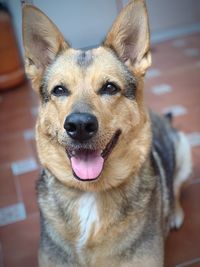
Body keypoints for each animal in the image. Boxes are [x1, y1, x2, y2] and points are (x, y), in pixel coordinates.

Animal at [22, 1, 192, 266]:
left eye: (109, 88)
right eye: (59, 90)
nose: (79, 126)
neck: (91, 194)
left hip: (184, 150)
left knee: (175, 185)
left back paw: (173, 212)